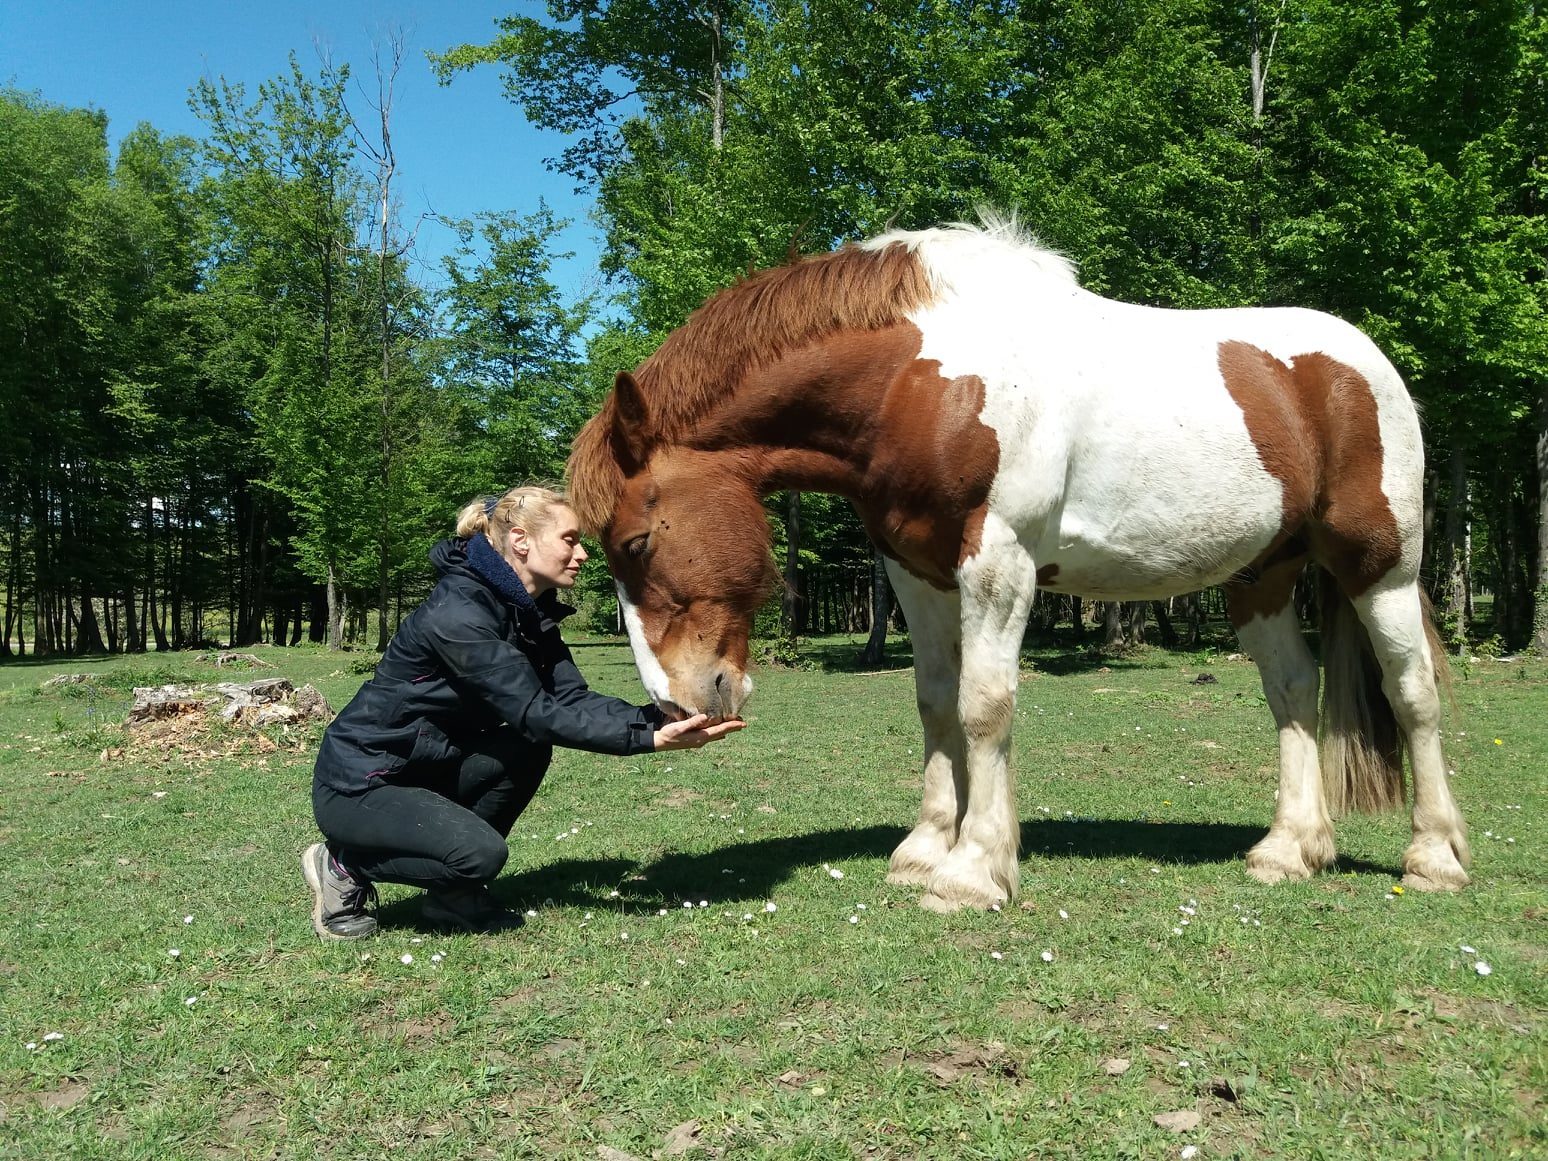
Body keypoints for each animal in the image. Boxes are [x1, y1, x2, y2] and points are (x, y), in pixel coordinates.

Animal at [563, 213, 1467, 916]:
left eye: (635, 543)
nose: (678, 703)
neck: (919, 380)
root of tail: (1368, 365)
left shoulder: (997, 563)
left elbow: (984, 706)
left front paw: (972, 870)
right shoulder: (916, 572)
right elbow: (935, 703)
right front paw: (926, 848)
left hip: (1378, 568)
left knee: (1412, 691)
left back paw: (1435, 856)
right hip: (1264, 577)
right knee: (1292, 692)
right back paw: (1290, 849)